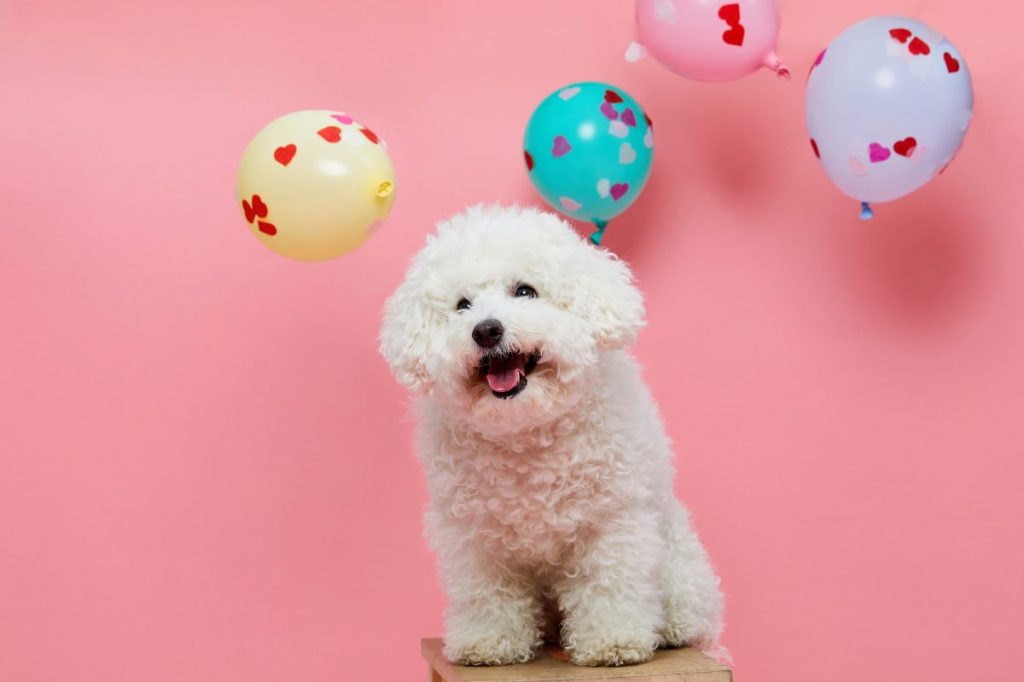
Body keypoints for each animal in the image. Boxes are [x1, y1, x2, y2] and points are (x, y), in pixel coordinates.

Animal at [380, 205, 724, 663]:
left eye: (525, 291)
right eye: (462, 305)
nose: (486, 330)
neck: (526, 429)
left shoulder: (611, 520)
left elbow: (609, 583)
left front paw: (612, 640)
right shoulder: (474, 535)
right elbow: (487, 593)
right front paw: (489, 640)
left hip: (679, 567)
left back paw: (669, 628)